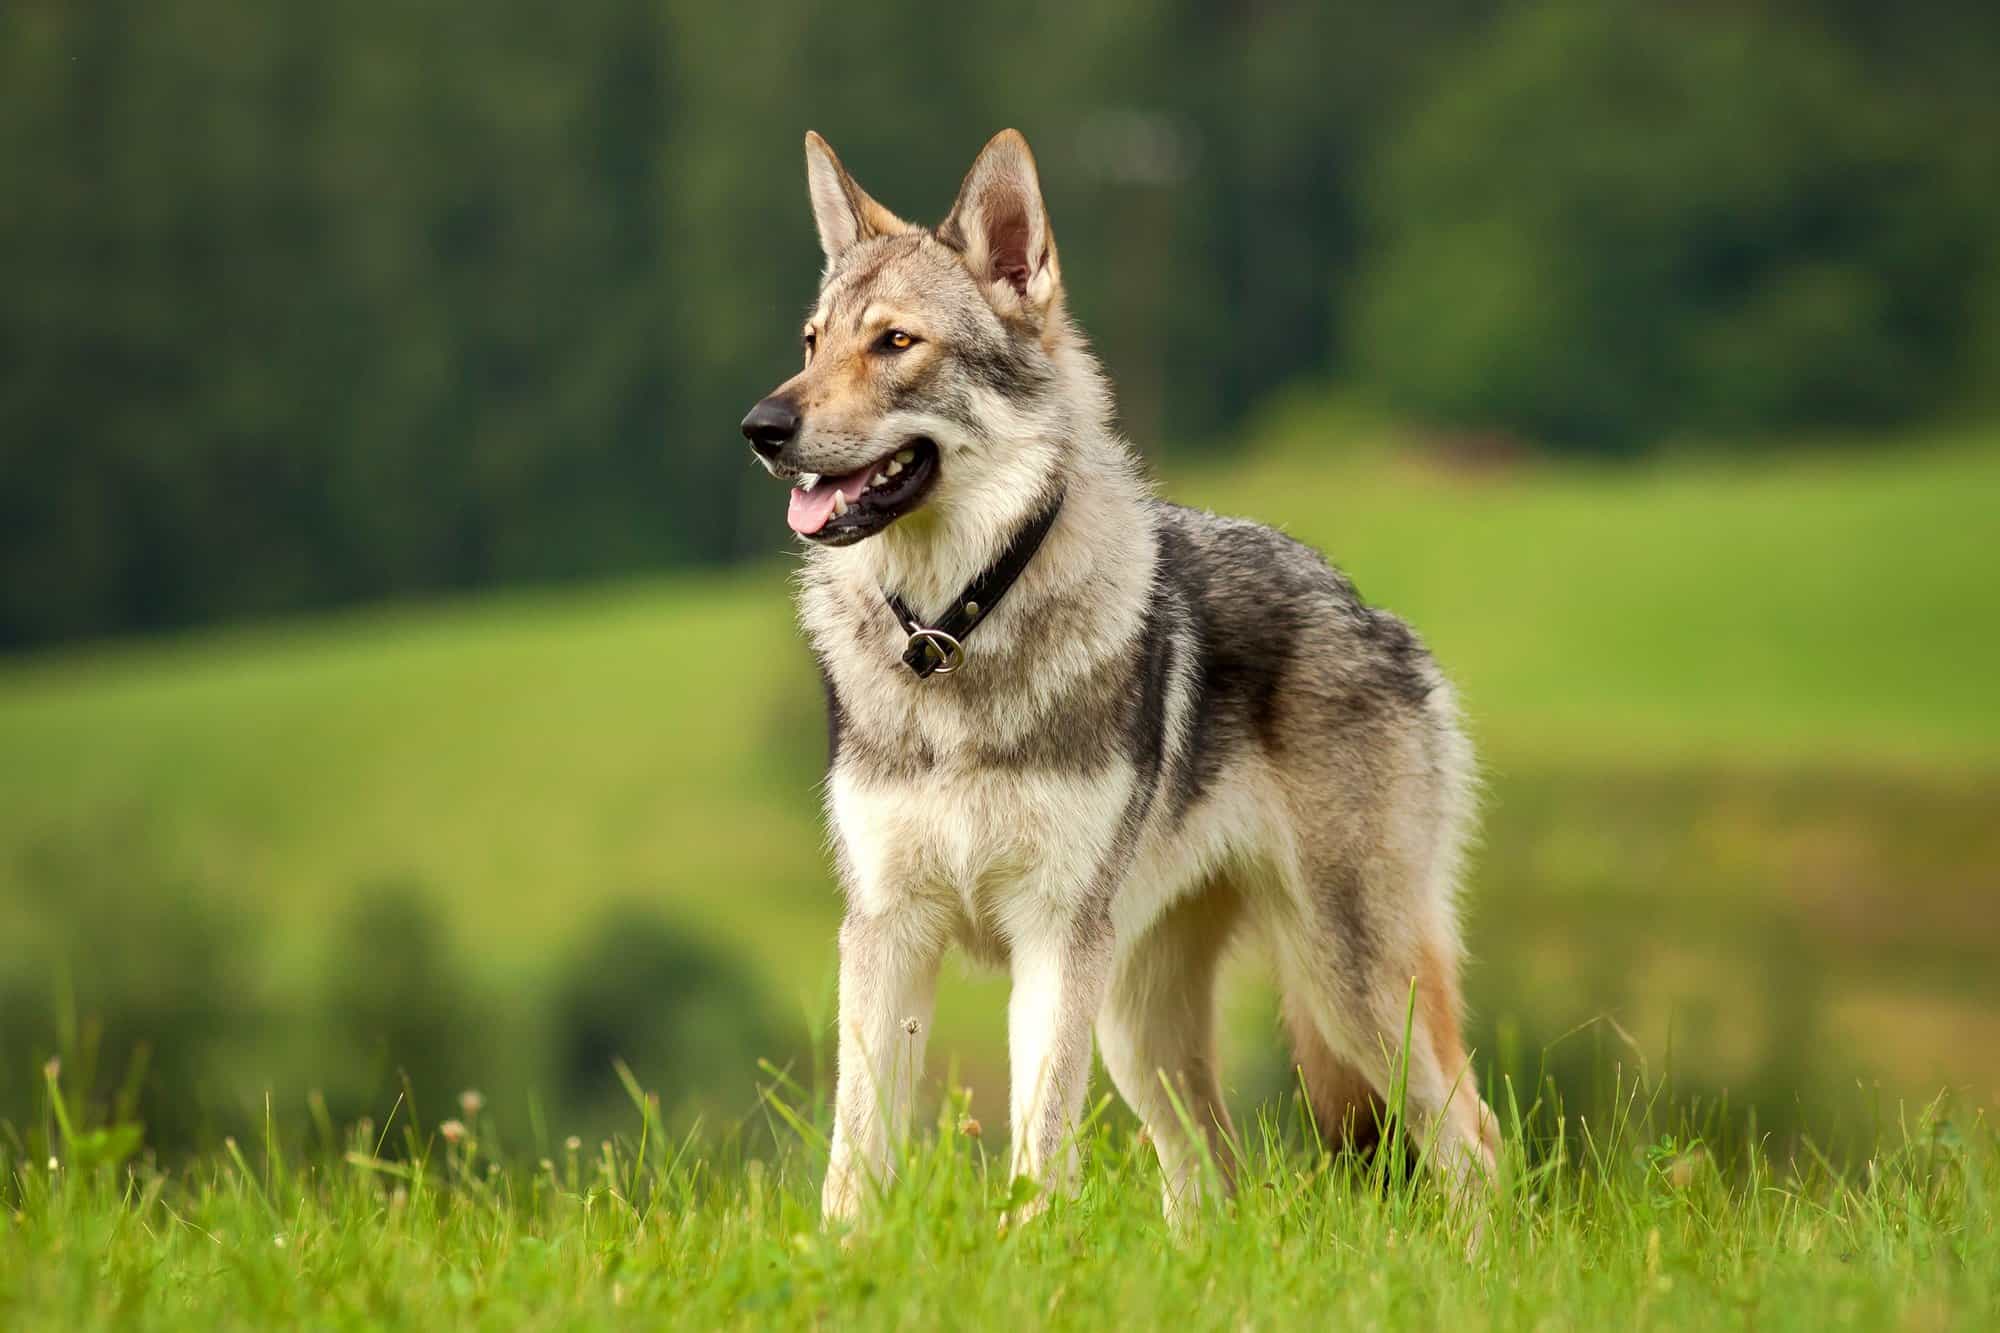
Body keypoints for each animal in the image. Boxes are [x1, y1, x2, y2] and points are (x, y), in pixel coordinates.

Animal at [741, 129, 1500, 1225]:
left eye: (894, 343)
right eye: (809, 343)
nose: (760, 426)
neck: (955, 634)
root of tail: (1375, 612)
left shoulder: (1054, 937)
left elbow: (1038, 1146)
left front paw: (1024, 1248)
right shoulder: (887, 930)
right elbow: (857, 1154)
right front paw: (843, 1252)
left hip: (1346, 983)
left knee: (1475, 1143)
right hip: (1145, 1031)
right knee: (1214, 1180)